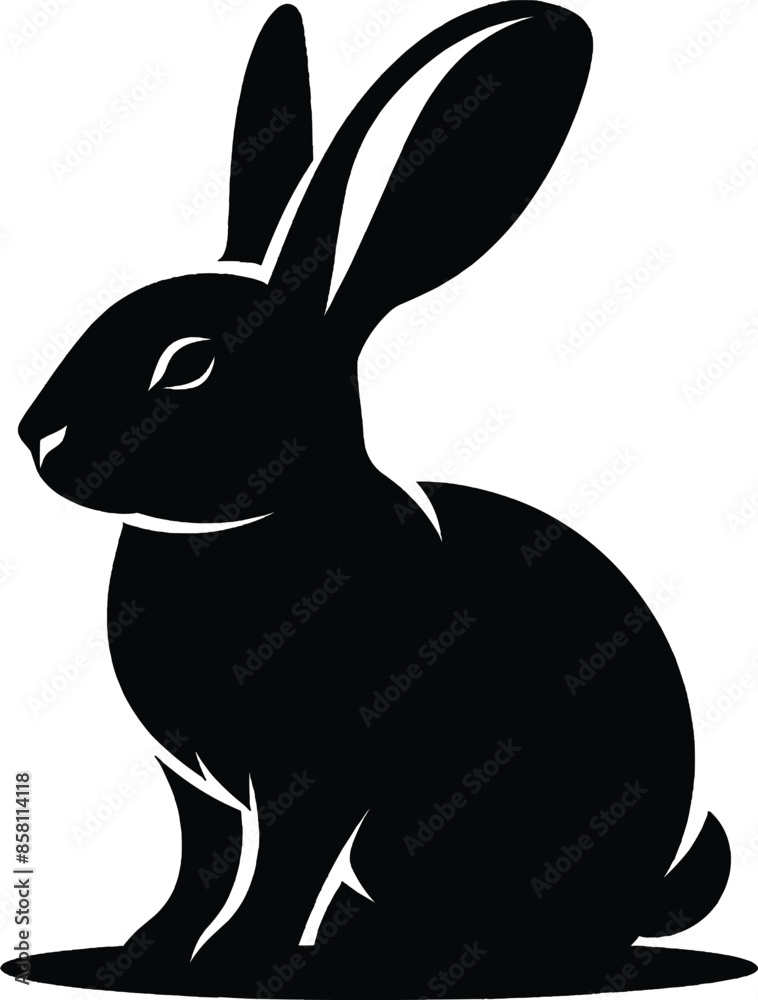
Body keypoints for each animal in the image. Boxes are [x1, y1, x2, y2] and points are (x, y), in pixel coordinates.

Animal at [5, 2, 757, 997]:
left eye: (191, 362)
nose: (35, 436)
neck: (251, 525)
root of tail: (633, 902)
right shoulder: (193, 785)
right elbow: (199, 866)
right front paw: (150, 952)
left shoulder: (318, 776)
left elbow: (278, 870)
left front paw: (237, 963)